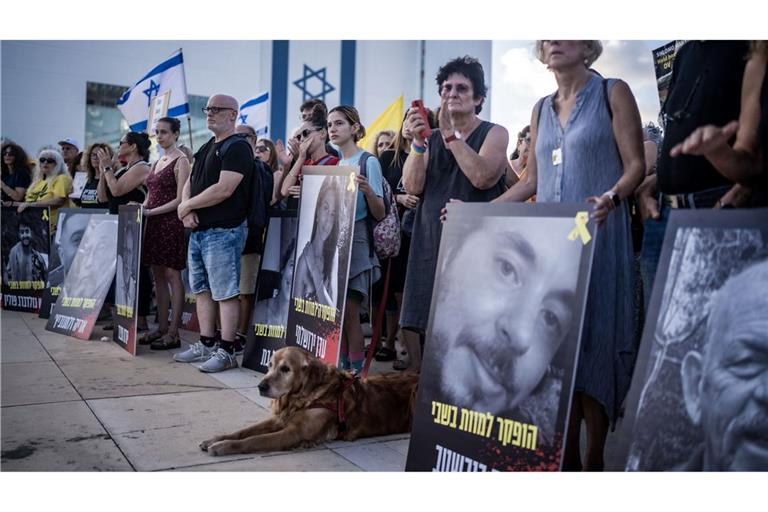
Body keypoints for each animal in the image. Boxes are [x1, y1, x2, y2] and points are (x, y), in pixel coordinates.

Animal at [198, 346, 420, 454]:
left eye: (285, 369)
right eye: (269, 365)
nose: (261, 386)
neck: (302, 397)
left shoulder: (294, 433)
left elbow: (253, 440)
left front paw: (222, 447)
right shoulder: (278, 419)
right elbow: (243, 432)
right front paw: (215, 440)